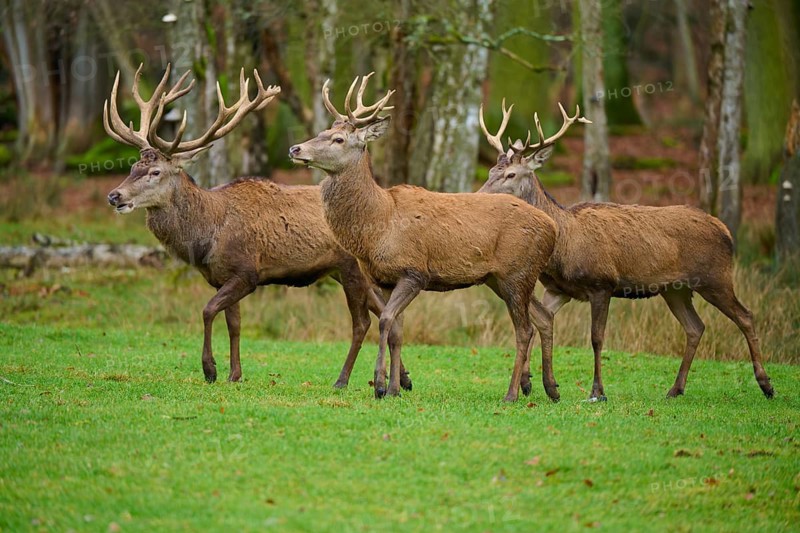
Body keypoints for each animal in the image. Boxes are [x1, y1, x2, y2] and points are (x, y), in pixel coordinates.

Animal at [104, 64, 413, 390]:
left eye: (155, 171)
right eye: (132, 168)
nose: (114, 196)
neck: (207, 234)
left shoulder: (246, 271)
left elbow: (207, 310)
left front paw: (210, 369)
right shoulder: (221, 276)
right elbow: (234, 324)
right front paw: (234, 374)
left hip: (351, 267)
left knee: (362, 321)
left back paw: (344, 380)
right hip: (341, 270)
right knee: (382, 311)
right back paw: (404, 379)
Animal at [289, 74, 559, 402]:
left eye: (338, 139)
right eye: (322, 131)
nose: (295, 149)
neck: (379, 223)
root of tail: (552, 228)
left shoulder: (415, 272)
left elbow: (385, 321)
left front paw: (380, 385)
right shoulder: (385, 279)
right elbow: (397, 331)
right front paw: (395, 389)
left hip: (517, 273)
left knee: (524, 329)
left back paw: (512, 394)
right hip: (501, 278)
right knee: (543, 317)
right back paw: (550, 389)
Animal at [477, 100, 774, 400]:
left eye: (511, 174)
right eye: (490, 171)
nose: (477, 196)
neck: (563, 244)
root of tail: (725, 230)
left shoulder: (601, 283)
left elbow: (596, 338)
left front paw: (597, 391)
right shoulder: (559, 289)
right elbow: (542, 321)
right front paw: (527, 382)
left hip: (715, 278)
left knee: (745, 316)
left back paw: (766, 384)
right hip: (675, 289)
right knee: (695, 327)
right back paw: (675, 389)